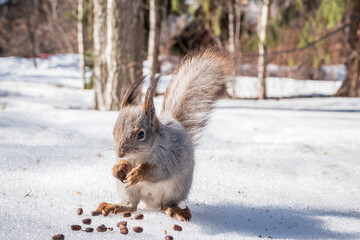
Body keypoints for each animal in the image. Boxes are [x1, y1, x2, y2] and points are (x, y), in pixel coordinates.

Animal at [96, 48, 231, 221]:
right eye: (114, 131)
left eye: (141, 134)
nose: (120, 153)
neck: (140, 156)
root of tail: (151, 202)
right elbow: (122, 166)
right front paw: (118, 168)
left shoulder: (168, 156)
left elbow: (160, 171)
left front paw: (138, 173)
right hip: (127, 190)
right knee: (131, 206)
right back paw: (114, 206)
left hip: (175, 190)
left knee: (165, 204)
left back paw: (176, 210)